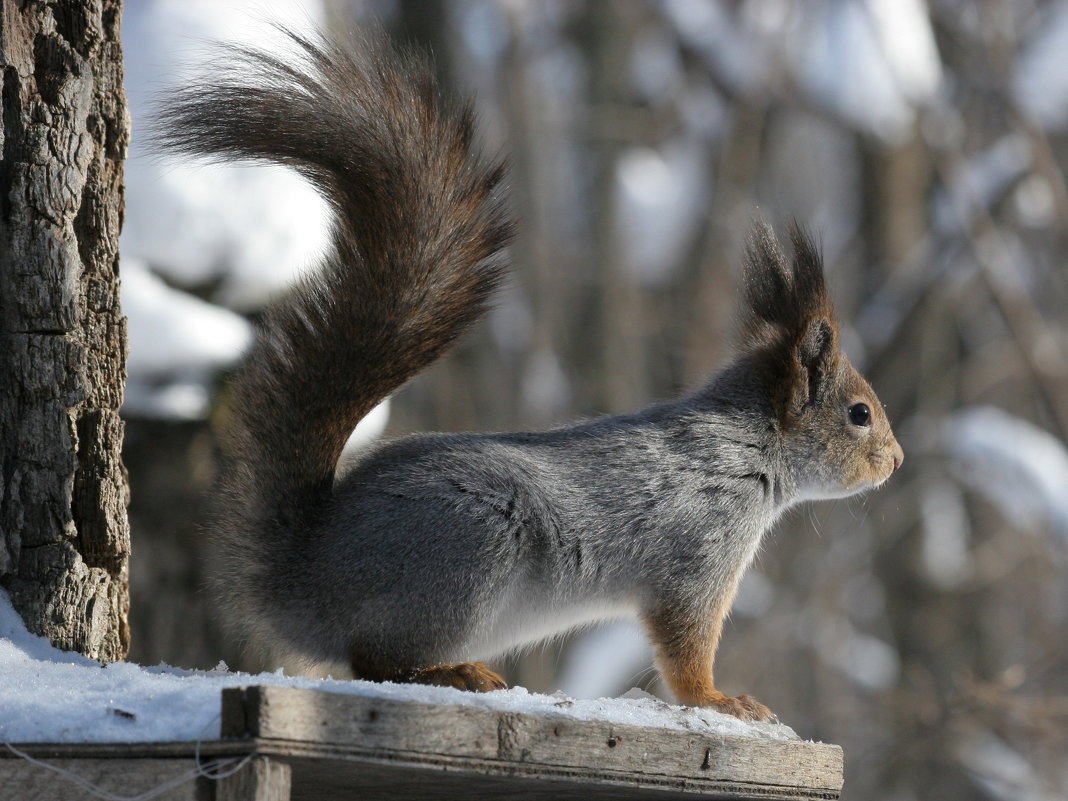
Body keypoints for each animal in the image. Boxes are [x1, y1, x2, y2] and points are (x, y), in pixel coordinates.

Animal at [158, 28, 901, 726]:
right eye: (859, 413)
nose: (895, 461)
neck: (747, 442)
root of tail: (306, 580)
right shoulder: (698, 554)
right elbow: (686, 648)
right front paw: (724, 702)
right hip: (467, 557)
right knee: (374, 659)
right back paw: (456, 673)